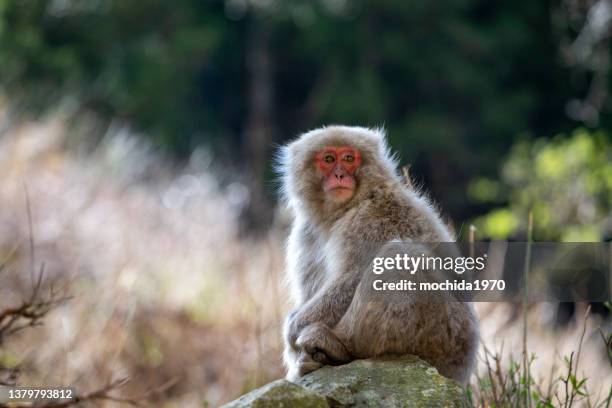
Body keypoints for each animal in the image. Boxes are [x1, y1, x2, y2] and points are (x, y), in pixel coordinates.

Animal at [280, 126, 480, 388]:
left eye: (349, 158)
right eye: (329, 159)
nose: (340, 175)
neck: (343, 210)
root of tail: (462, 372)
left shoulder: (371, 218)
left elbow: (353, 276)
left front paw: (294, 327)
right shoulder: (305, 232)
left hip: (447, 337)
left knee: (400, 256)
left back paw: (338, 345)